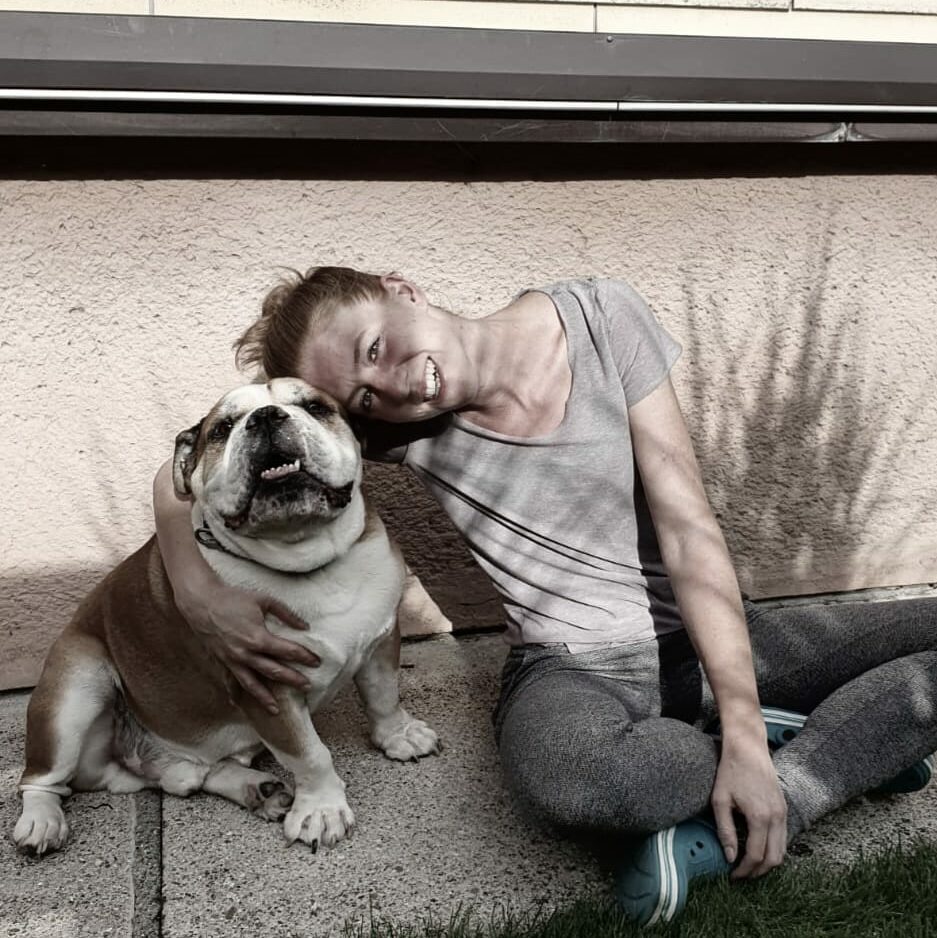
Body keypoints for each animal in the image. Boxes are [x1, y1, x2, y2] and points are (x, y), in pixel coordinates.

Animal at [14, 377, 442, 856]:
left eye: (316, 407)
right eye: (222, 428)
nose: (267, 416)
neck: (306, 558)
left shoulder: (381, 637)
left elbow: (384, 694)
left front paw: (398, 736)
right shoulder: (266, 688)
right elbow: (309, 753)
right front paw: (322, 809)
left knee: (195, 773)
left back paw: (259, 790)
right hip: (76, 682)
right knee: (42, 779)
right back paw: (41, 823)